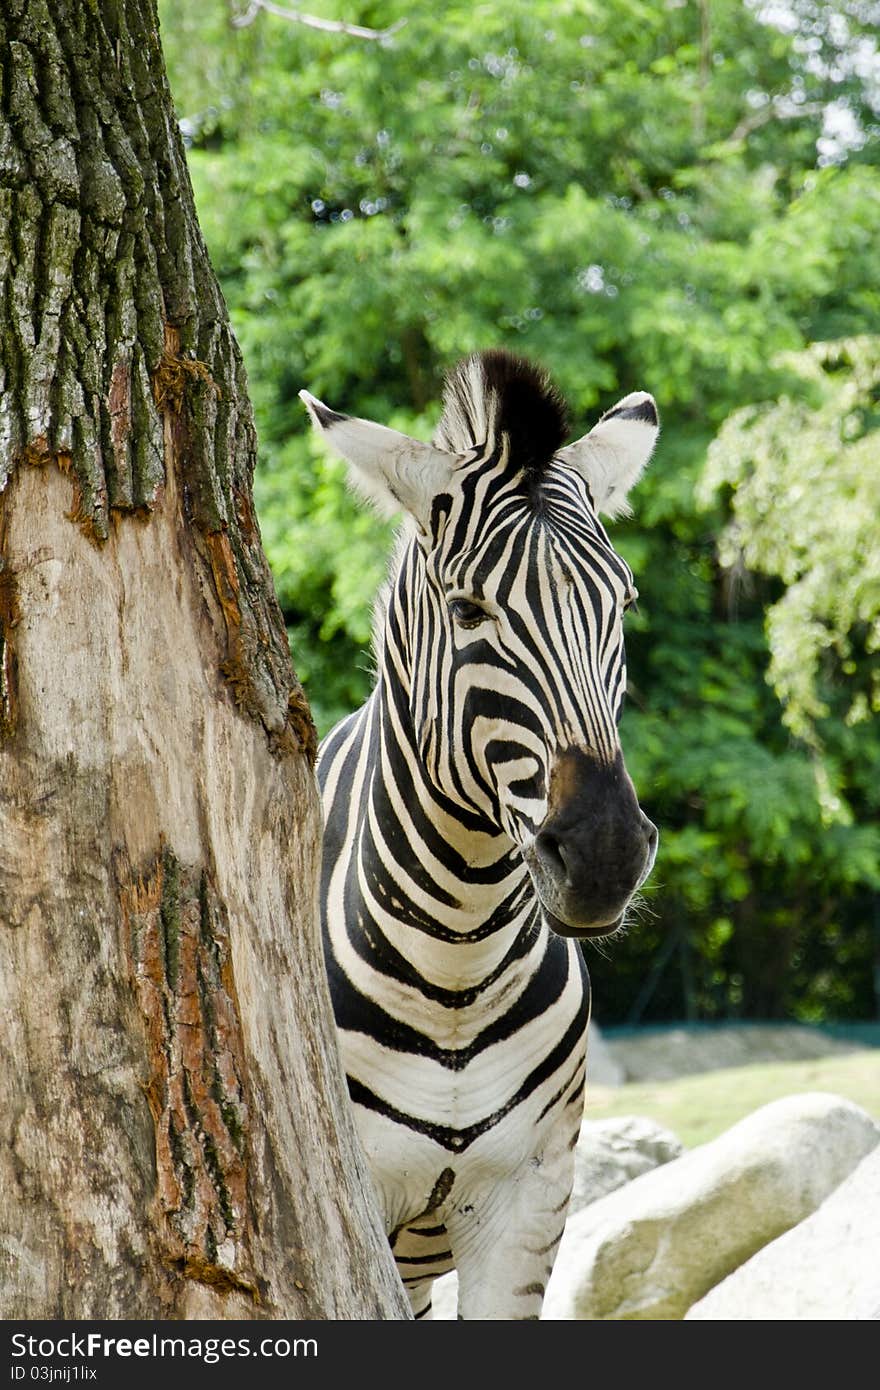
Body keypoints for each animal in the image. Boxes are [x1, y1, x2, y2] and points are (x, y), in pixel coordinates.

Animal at [298, 347, 656, 1312]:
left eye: (622, 604)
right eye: (467, 613)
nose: (604, 855)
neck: (455, 962)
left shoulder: (530, 1202)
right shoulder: (353, 1203)